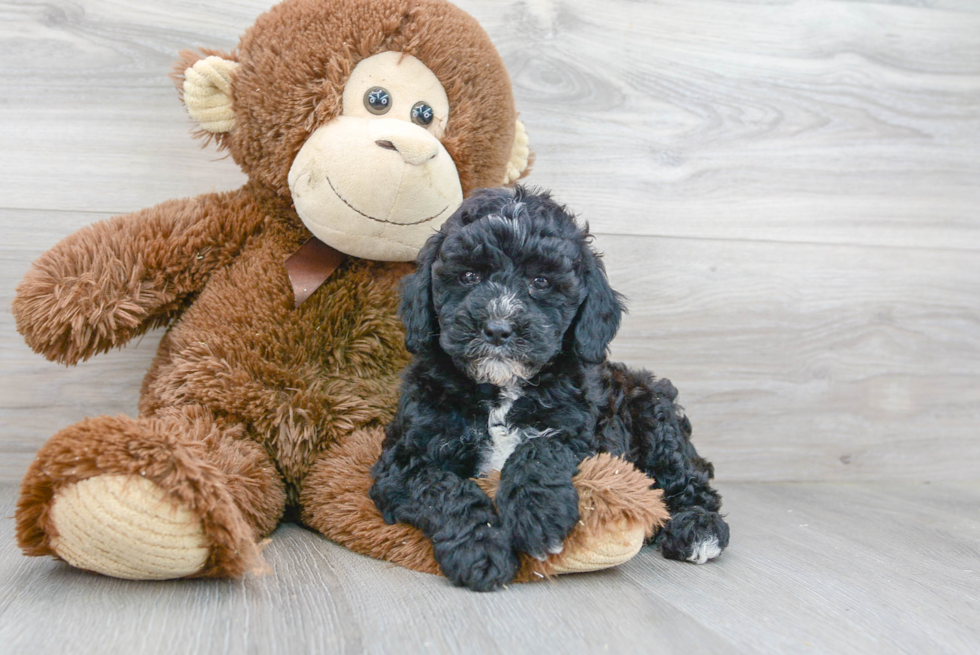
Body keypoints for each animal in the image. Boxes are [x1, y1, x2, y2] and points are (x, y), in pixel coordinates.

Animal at [368, 187, 728, 592]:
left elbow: (540, 449)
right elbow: (443, 488)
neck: (502, 388)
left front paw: (537, 515)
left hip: (654, 416)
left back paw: (698, 529)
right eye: (469, 276)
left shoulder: (586, 437)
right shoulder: (403, 461)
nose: (498, 328)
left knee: (692, 485)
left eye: (540, 282)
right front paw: (481, 548)